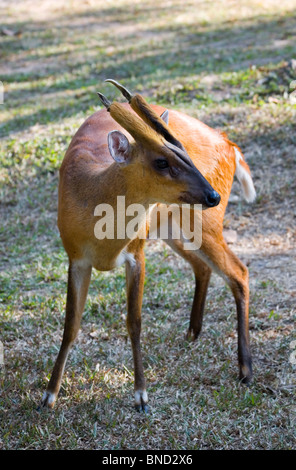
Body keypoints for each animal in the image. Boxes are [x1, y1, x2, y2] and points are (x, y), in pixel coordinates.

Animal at [40, 79, 256, 410]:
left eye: (184, 152)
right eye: (161, 162)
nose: (213, 195)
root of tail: (229, 145)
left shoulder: (136, 252)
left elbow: (134, 321)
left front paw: (141, 395)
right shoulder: (75, 258)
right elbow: (70, 325)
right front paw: (49, 395)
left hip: (204, 223)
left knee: (239, 272)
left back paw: (245, 369)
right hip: (172, 226)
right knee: (204, 268)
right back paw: (192, 333)